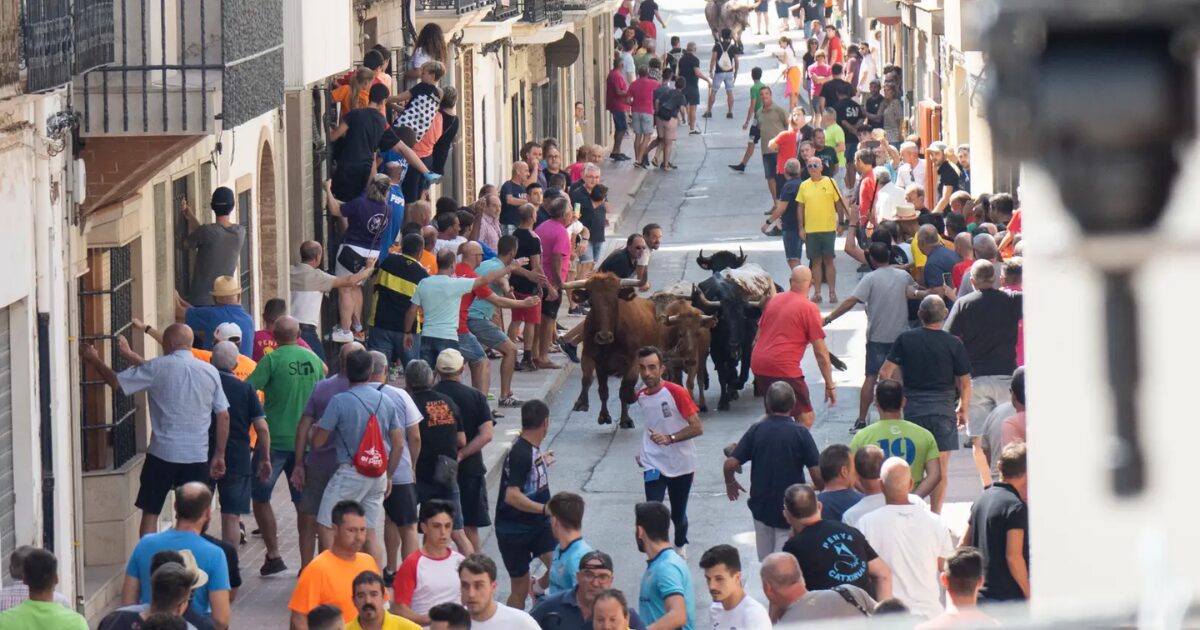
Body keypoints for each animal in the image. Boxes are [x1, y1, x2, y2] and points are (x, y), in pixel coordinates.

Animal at [564, 271, 667, 427]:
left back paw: (625, 419)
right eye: (591, 302)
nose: (603, 336)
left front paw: (630, 399)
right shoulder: (590, 357)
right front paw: (588, 406)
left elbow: (626, 386)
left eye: (615, 301)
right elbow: (592, 383)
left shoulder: (634, 359)